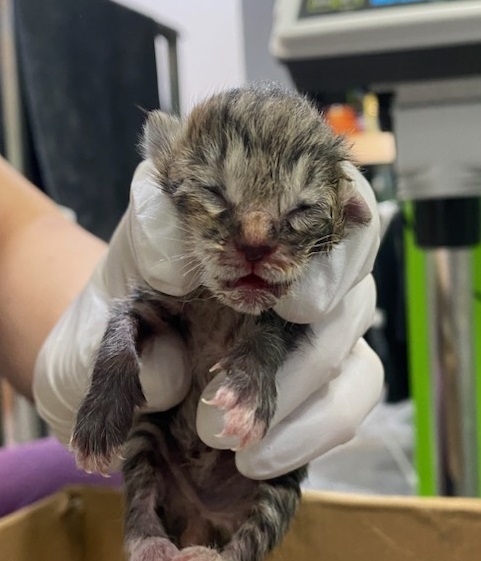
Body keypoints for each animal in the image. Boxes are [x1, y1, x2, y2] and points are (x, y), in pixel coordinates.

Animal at [70, 84, 372, 560]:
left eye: (301, 209)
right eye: (215, 192)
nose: (256, 245)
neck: (224, 306)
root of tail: (201, 515)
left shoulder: (292, 313)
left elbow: (271, 332)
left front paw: (246, 388)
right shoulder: (157, 297)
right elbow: (119, 325)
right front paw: (98, 419)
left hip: (275, 484)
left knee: (247, 541)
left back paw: (207, 553)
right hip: (147, 442)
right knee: (140, 497)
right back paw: (150, 542)